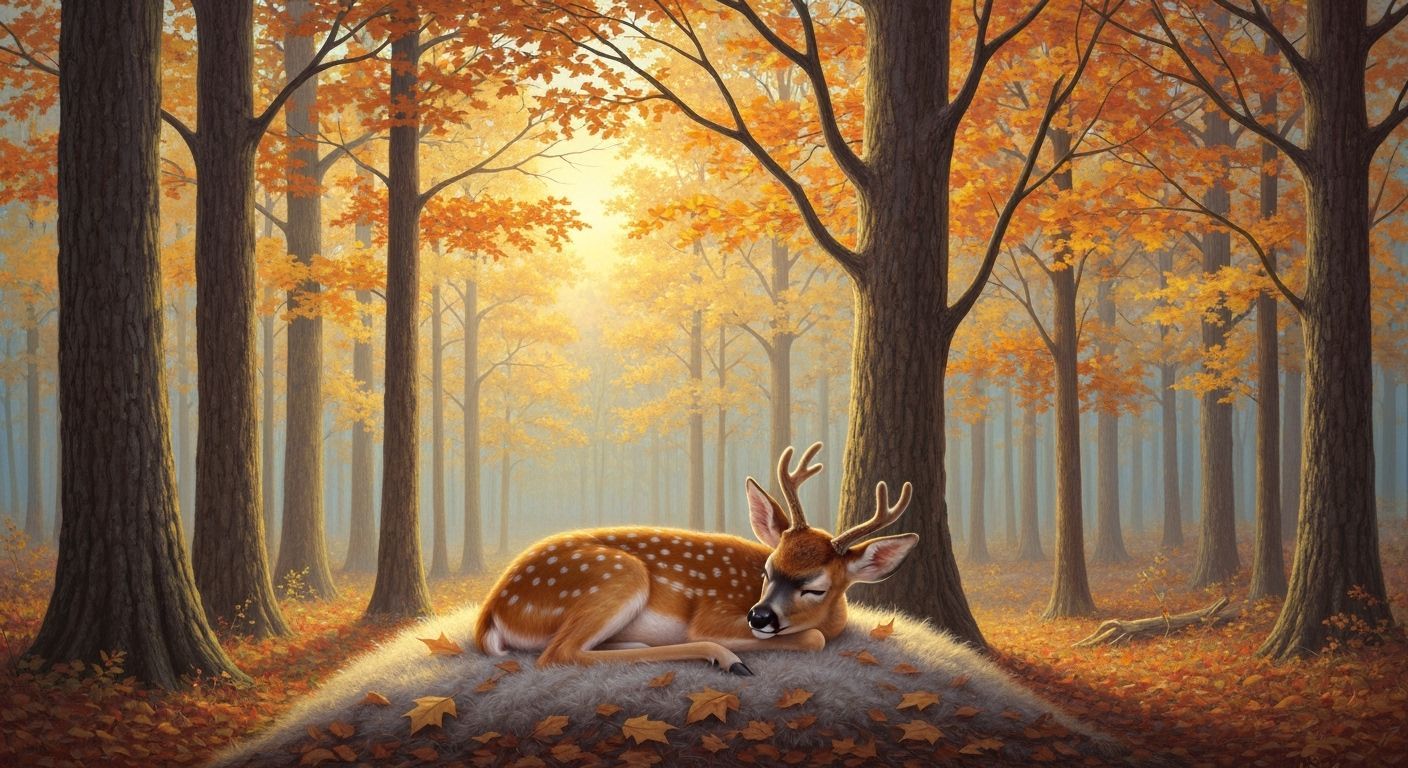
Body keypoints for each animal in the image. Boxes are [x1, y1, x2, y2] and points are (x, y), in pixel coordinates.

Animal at [473, 442, 918, 675]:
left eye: (816, 588)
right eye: (768, 570)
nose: (759, 617)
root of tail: (494, 609)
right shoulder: (714, 613)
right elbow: (813, 638)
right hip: (618, 576)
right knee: (558, 654)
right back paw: (725, 658)